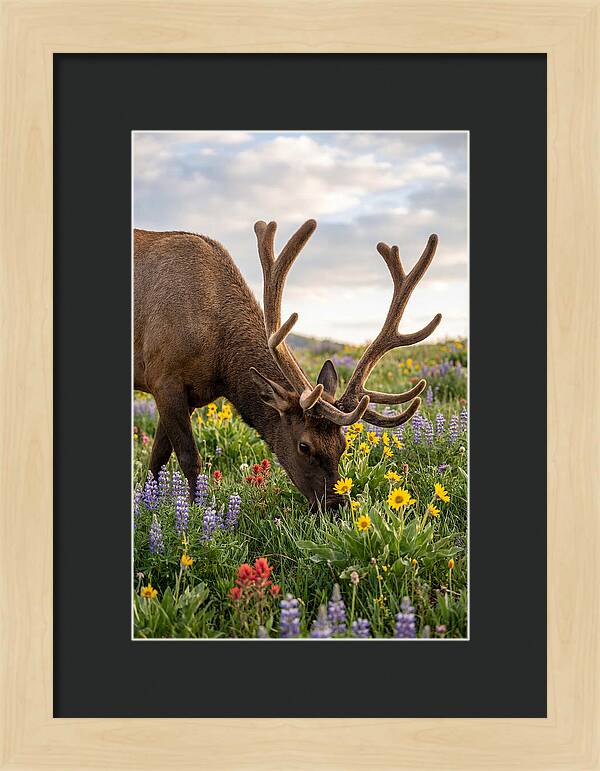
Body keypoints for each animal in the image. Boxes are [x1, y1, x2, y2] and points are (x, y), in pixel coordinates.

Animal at [134, 219, 441, 509]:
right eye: (304, 446)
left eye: (343, 445)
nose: (335, 505)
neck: (221, 363)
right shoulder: (163, 377)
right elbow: (188, 458)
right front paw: (193, 512)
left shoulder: (190, 395)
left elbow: (157, 458)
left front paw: (148, 503)